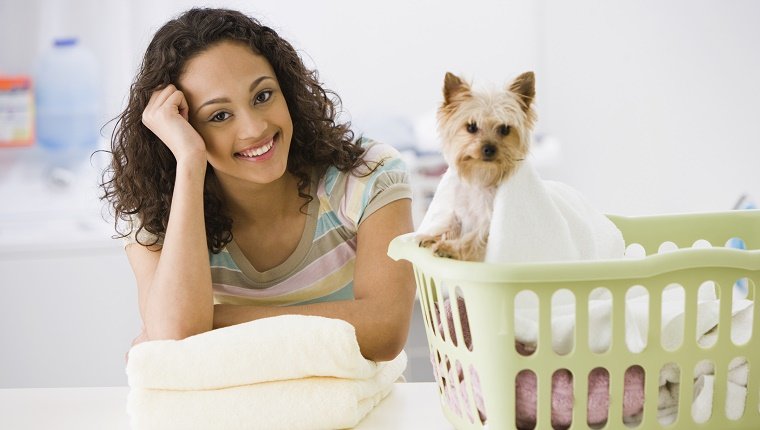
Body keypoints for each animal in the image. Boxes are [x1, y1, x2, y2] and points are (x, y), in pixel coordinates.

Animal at [416, 70, 536, 260]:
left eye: (505, 129)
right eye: (471, 127)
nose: (489, 149)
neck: (480, 176)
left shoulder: (489, 221)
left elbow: (474, 237)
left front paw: (449, 248)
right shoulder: (459, 212)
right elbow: (452, 224)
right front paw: (433, 237)